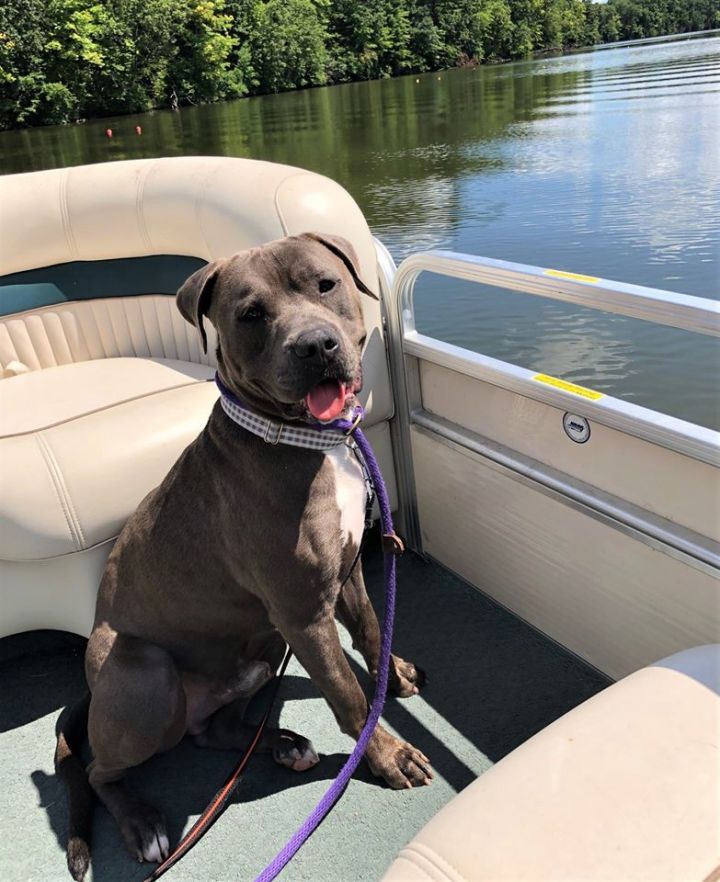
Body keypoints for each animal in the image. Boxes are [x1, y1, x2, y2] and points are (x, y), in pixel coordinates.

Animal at [56, 230, 430, 876]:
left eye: (325, 283)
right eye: (250, 315)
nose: (315, 344)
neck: (305, 439)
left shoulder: (348, 573)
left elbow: (371, 632)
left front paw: (395, 673)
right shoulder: (305, 614)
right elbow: (350, 697)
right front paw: (385, 754)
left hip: (264, 644)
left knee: (216, 732)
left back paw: (284, 743)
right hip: (147, 672)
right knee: (102, 769)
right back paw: (143, 823)